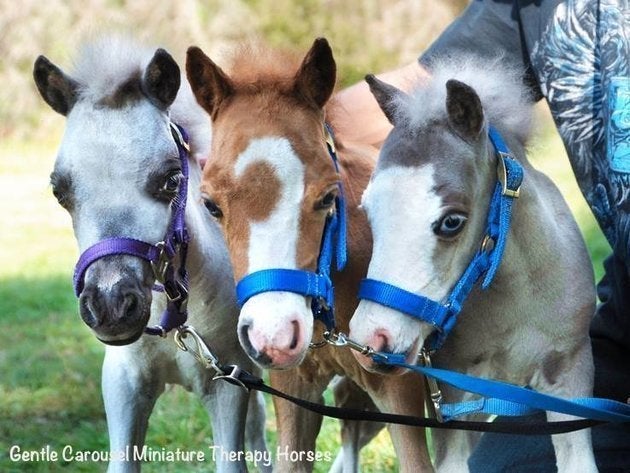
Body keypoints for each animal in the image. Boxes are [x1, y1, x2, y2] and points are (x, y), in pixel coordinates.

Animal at [354, 57, 600, 470]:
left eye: (452, 221)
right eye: (368, 210)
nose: (372, 340)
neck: (515, 299)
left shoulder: (570, 379)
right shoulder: (451, 400)